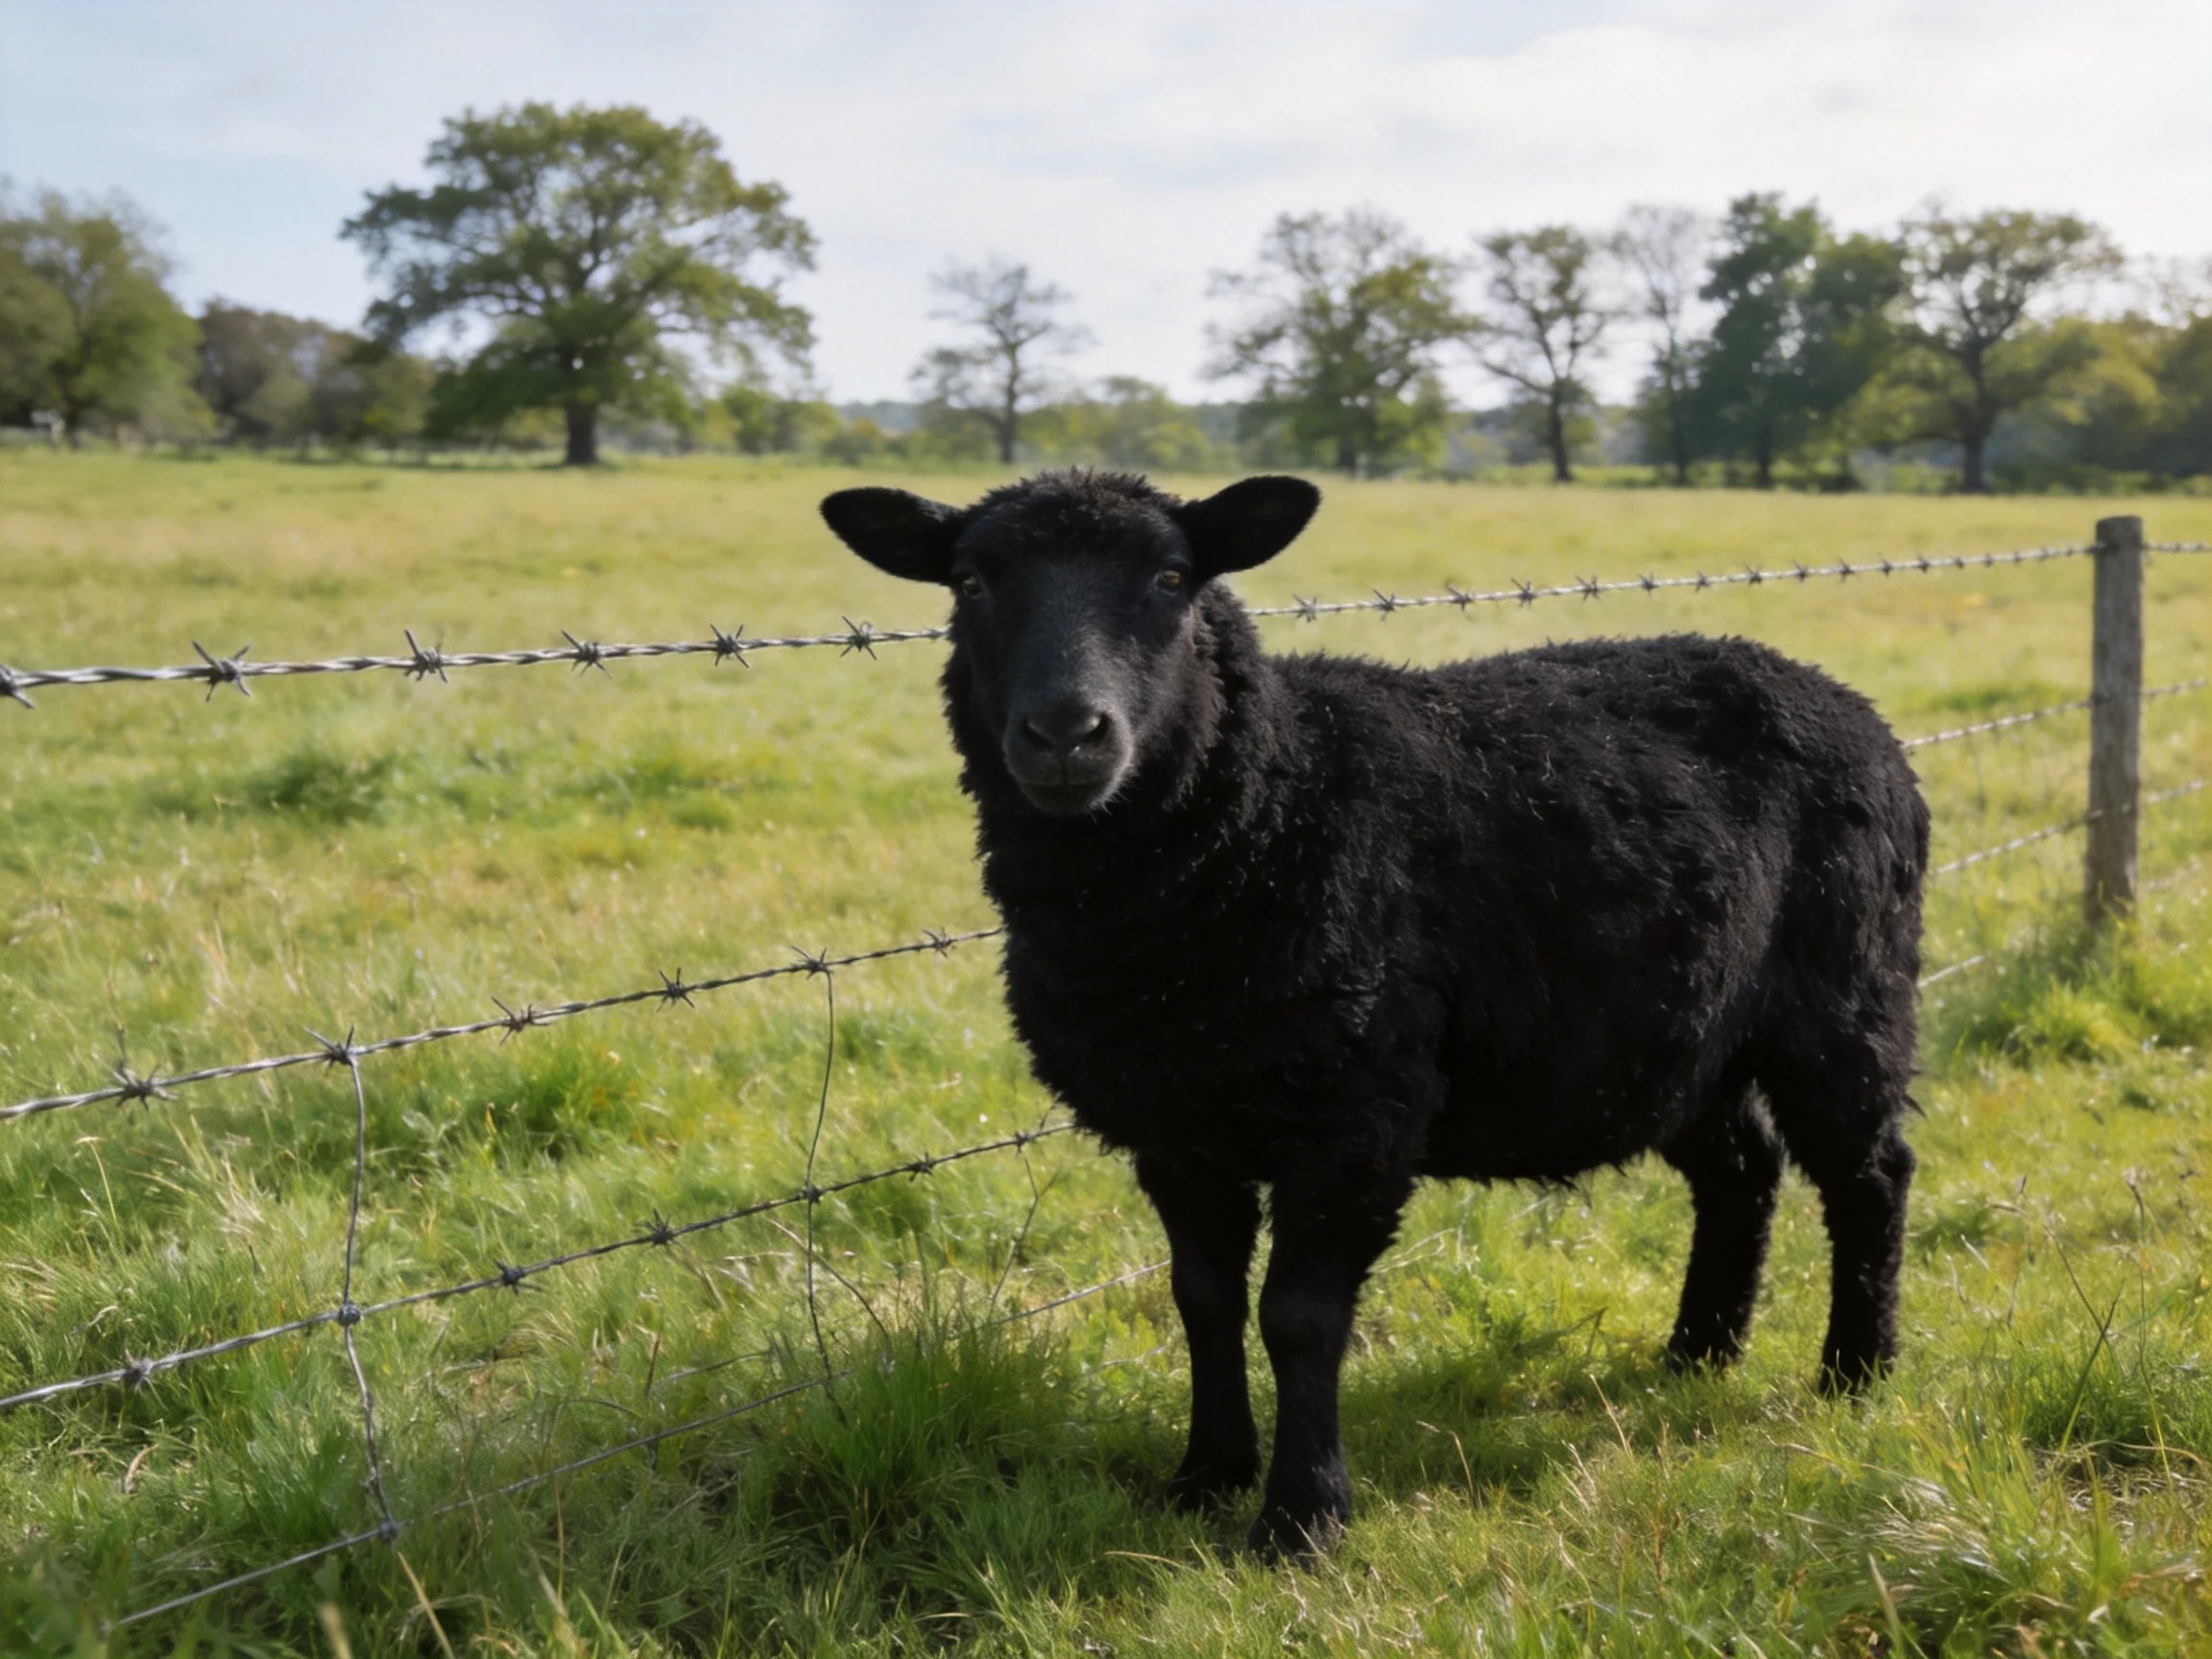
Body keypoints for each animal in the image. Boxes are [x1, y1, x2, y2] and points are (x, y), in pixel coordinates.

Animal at [820, 469, 1928, 1556]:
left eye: (1173, 576)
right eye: (970, 583)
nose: (1065, 734)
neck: (1270, 809)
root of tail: (1839, 699)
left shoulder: (1355, 1110)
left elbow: (1300, 1317)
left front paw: (1300, 1519)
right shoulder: (1176, 1124)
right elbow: (1203, 1301)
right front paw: (1206, 1475)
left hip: (1847, 995)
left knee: (1868, 1172)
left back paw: (1854, 1374)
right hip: (1675, 1034)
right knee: (1741, 1168)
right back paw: (1696, 1354)